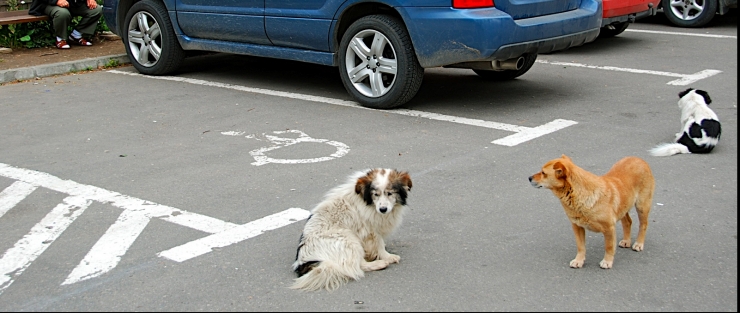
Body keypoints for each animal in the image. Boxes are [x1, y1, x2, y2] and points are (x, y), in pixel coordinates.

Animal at [528, 155, 656, 270]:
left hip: (642, 206)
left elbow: (609, 247)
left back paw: (639, 243)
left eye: (543, 173)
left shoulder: (609, 228)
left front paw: (607, 261)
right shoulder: (577, 226)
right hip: (623, 208)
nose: (529, 178)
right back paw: (626, 241)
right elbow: (581, 247)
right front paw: (579, 261)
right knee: (628, 222)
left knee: (643, 224)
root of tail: (639, 159)